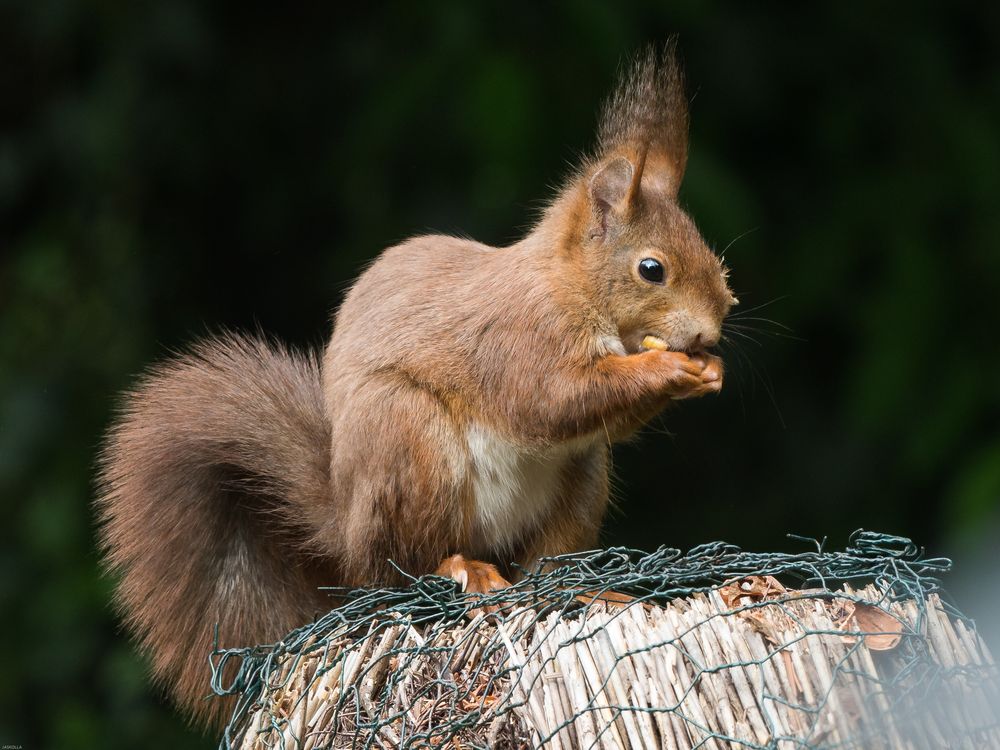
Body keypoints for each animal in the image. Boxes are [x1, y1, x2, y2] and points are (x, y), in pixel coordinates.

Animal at [95, 42, 736, 728]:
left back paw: (581, 589)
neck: (571, 288)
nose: (710, 329)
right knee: (404, 567)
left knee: (541, 564)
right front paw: (669, 370)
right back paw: (462, 571)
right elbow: (552, 399)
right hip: (410, 441)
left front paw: (710, 369)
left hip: (580, 480)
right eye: (652, 269)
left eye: (715, 261)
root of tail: (346, 532)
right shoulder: (518, 340)